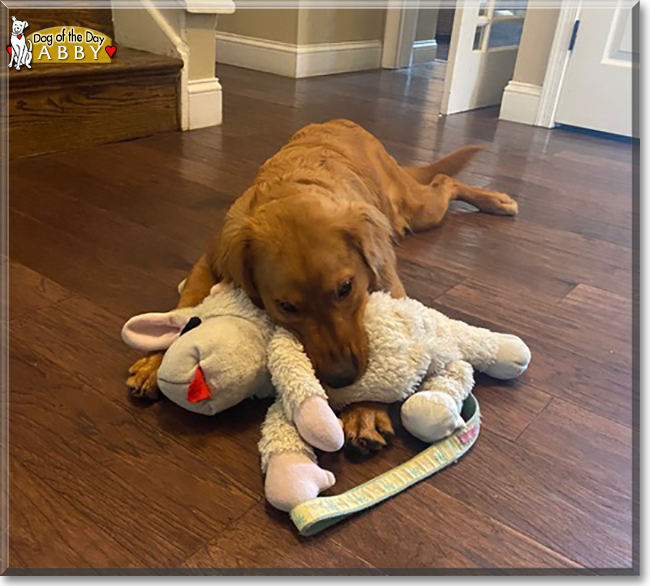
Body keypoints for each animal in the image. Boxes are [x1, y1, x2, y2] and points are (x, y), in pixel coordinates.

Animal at [129, 120, 516, 452]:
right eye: (286, 306)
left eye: (345, 288)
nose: (342, 377)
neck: (293, 189)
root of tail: (345, 123)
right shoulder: (212, 257)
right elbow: (186, 304)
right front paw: (153, 361)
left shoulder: (389, 283)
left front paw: (364, 409)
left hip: (418, 210)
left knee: (444, 181)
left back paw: (496, 200)